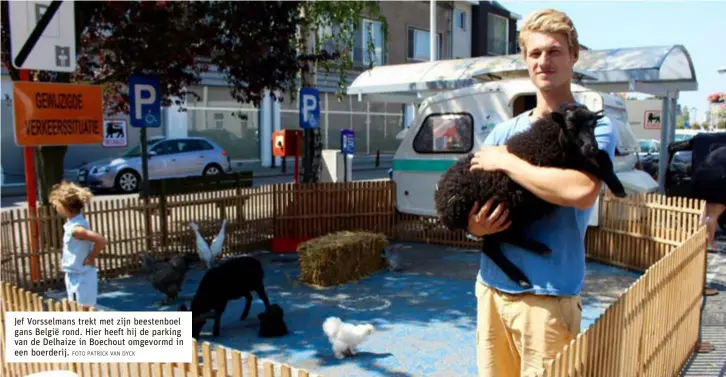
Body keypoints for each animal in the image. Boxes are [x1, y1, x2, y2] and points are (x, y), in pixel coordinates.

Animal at [436, 101, 628, 286]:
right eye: (571, 127)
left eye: (594, 125)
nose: (591, 147)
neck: (550, 139)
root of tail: (443, 204)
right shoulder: (565, 163)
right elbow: (593, 165)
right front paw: (618, 187)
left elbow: (603, 157)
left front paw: (615, 179)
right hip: (496, 214)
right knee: (491, 247)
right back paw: (520, 275)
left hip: (513, 213)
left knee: (505, 237)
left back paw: (537, 248)